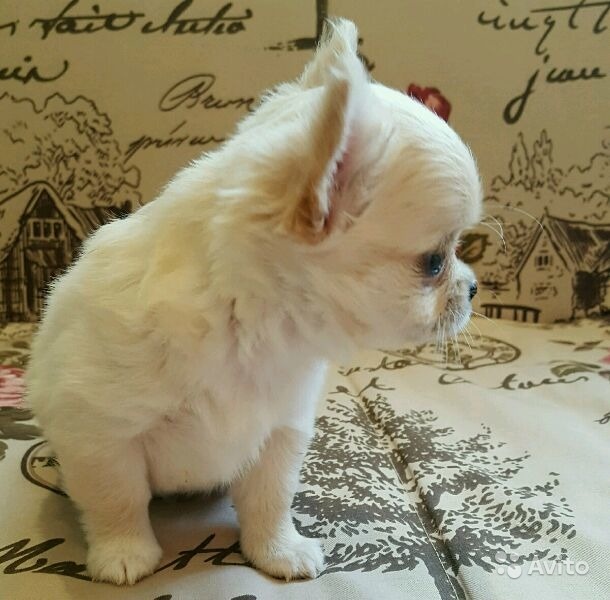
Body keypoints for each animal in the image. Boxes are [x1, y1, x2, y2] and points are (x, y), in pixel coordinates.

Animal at [27, 19, 481, 585]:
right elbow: (118, 497)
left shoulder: (280, 431)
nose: (473, 287)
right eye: (434, 263)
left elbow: (270, 498)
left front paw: (277, 550)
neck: (247, 323)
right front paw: (123, 553)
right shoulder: (100, 432)